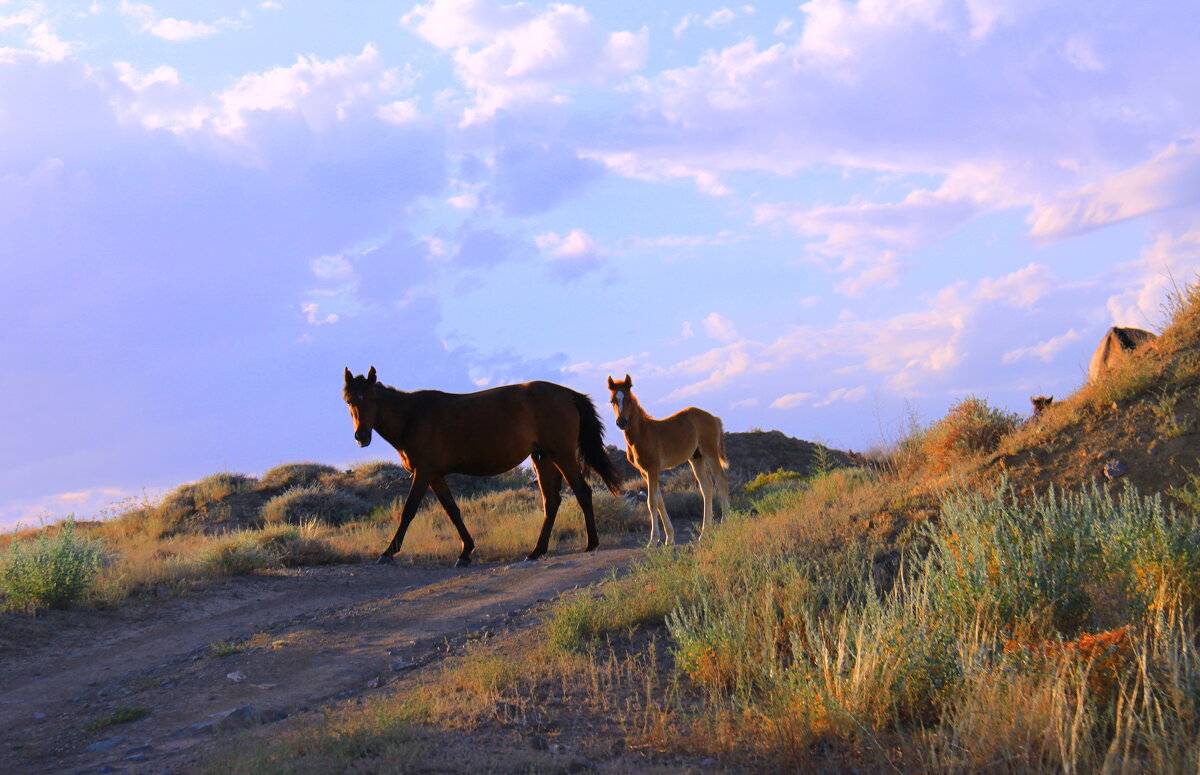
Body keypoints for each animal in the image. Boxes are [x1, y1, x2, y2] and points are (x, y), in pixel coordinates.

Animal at [340, 367, 614, 568]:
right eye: (349, 401)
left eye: (372, 398)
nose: (361, 436)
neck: (412, 417)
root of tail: (568, 394)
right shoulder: (435, 475)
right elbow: (452, 510)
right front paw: (466, 552)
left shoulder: (424, 472)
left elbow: (409, 510)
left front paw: (388, 552)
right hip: (543, 458)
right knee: (552, 502)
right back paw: (537, 551)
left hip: (562, 455)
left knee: (582, 492)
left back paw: (591, 543)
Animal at [609, 376, 729, 547]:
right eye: (612, 400)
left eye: (628, 399)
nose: (621, 422)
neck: (642, 433)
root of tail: (714, 418)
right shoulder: (644, 471)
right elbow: (659, 500)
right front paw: (669, 538)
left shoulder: (652, 468)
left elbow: (652, 501)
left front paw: (653, 540)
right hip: (696, 458)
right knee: (706, 487)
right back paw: (705, 533)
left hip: (711, 453)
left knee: (721, 480)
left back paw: (725, 523)